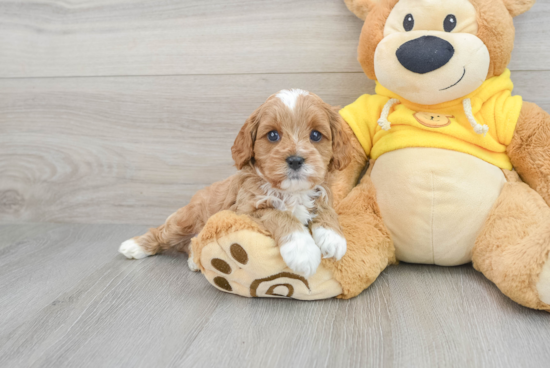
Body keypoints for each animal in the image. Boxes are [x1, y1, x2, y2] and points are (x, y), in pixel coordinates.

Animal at [121, 89, 354, 278]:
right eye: (273, 135)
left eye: (315, 135)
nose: (295, 160)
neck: (291, 192)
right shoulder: (246, 209)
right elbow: (278, 213)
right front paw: (302, 251)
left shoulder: (321, 193)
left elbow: (326, 210)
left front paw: (333, 237)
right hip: (186, 220)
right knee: (163, 232)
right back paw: (133, 246)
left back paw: (194, 260)